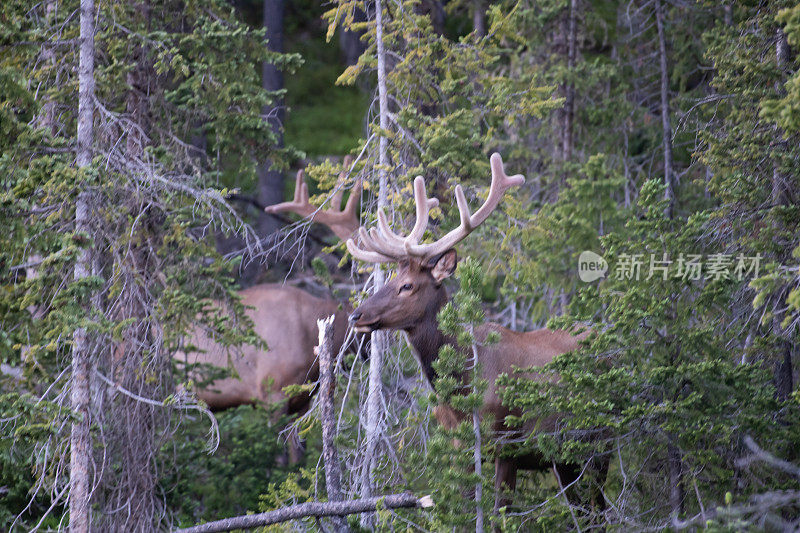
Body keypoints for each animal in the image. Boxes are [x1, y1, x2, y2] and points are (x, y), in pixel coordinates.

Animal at [346, 153, 604, 512]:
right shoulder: (460, 448)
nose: (356, 314)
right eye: (392, 279)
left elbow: (498, 513)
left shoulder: (508, 442)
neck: (463, 389)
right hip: (565, 457)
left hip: (601, 439)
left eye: (407, 285)